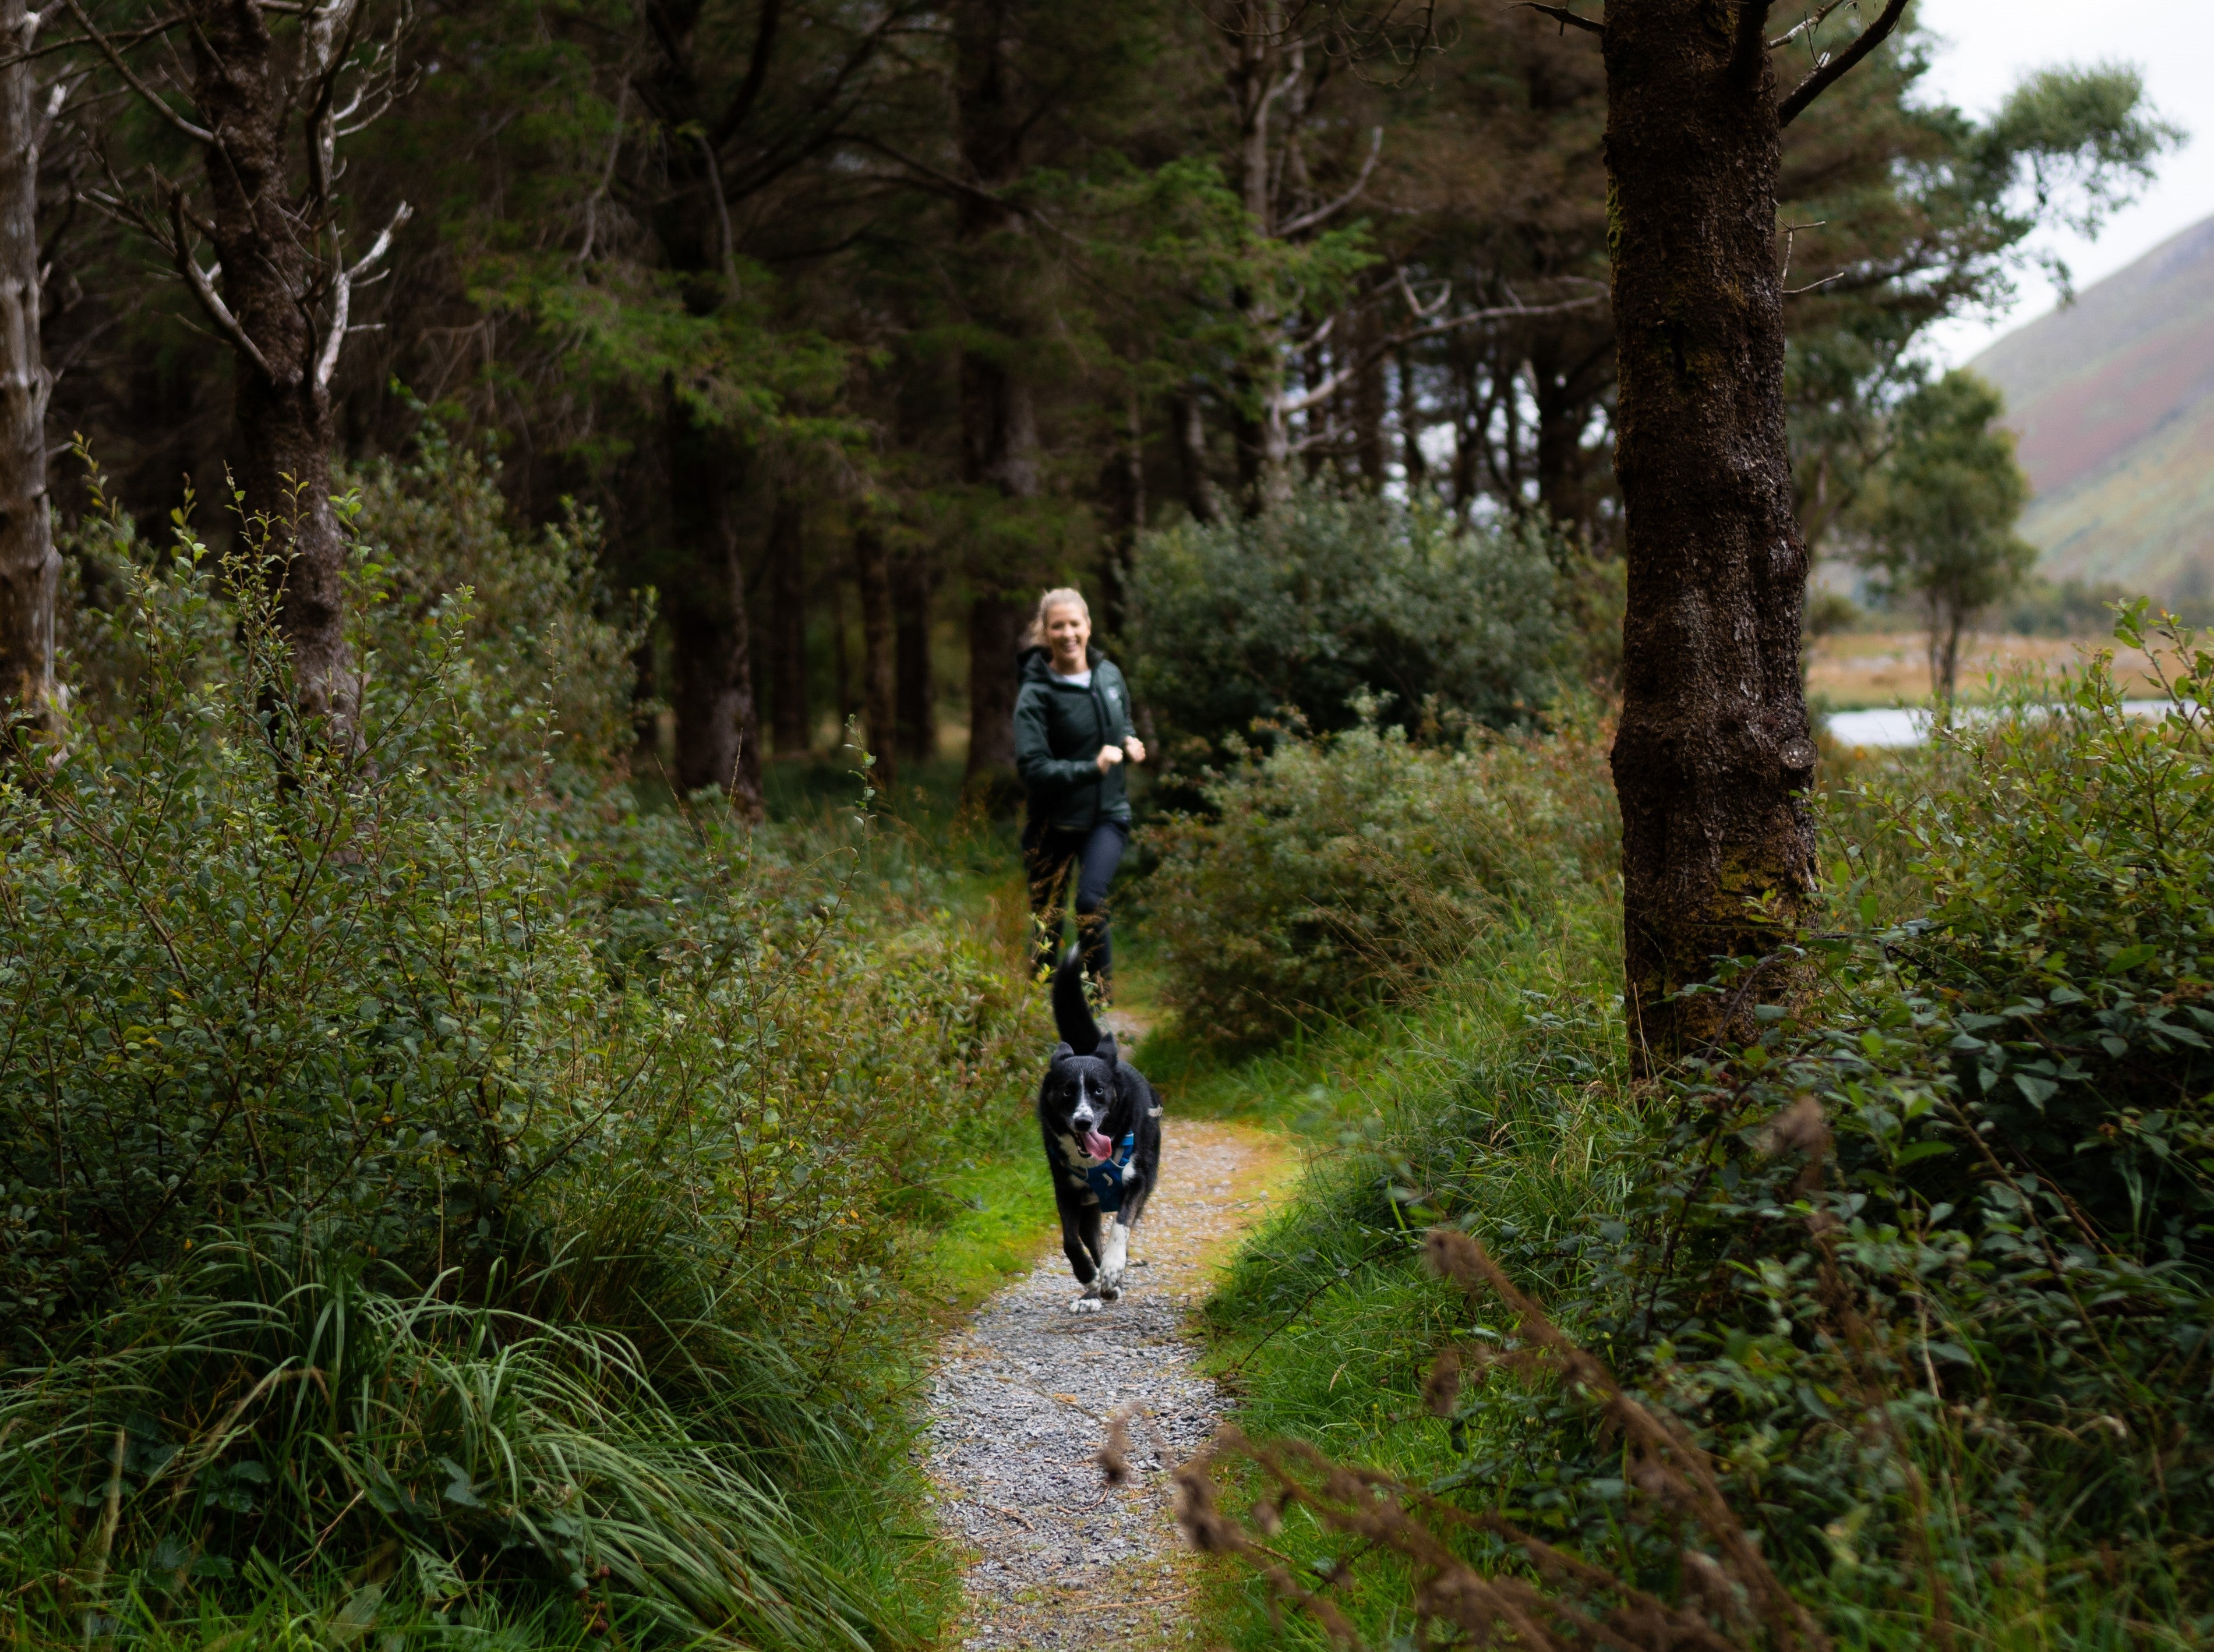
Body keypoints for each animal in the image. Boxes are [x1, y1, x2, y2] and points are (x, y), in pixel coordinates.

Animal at [1036, 947, 1168, 1302]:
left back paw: (1111, 1278)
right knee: (1088, 1234)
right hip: (1088, 1204)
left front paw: (1112, 1267)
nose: (1083, 1122)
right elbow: (1070, 1241)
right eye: (1067, 1091)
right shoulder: (1067, 1190)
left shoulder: (1138, 1182)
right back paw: (1101, 1285)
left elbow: (1121, 1226)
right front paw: (1088, 1274)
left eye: (1098, 1090)